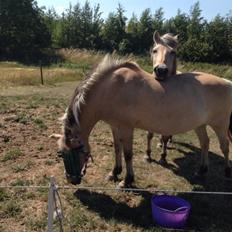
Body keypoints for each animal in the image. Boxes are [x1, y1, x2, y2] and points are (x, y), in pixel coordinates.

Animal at [55, 54, 231, 188]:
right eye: (62, 154)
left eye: (74, 152)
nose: (72, 180)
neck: (111, 89)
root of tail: (227, 82)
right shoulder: (114, 126)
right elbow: (117, 149)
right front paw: (114, 173)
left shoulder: (127, 128)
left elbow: (128, 154)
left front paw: (127, 181)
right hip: (200, 124)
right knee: (205, 143)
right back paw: (202, 170)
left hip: (220, 125)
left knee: (225, 146)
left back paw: (226, 172)